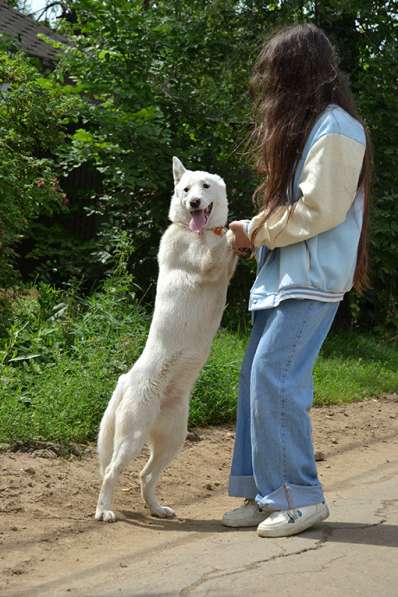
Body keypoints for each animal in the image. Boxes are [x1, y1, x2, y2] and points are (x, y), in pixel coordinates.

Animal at [95, 157, 238, 520]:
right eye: (185, 189)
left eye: (204, 186)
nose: (194, 203)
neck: (194, 231)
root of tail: (126, 379)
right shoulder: (205, 261)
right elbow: (223, 244)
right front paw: (239, 228)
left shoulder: (223, 269)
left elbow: (227, 251)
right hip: (131, 437)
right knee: (111, 472)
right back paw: (105, 511)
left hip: (173, 439)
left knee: (146, 476)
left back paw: (158, 509)